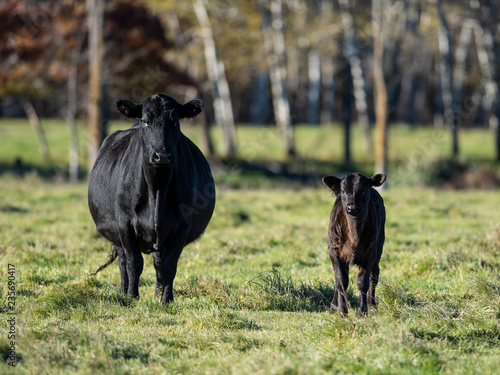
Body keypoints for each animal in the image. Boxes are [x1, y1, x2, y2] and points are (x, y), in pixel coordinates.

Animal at [89, 93, 214, 302]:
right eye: (146, 121)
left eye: (175, 121)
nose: (162, 155)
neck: (157, 189)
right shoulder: (125, 223)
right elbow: (134, 263)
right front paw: (132, 297)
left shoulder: (182, 225)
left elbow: (168, 266)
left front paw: (166, 300)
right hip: (117, 235)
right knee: (123, 261)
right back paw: (123, 292)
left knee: (158, 263)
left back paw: (157, 294)